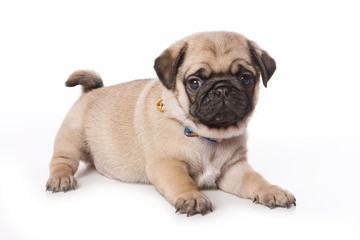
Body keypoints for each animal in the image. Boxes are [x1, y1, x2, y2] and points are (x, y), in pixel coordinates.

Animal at [46, 30, 296, 216]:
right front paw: (192, 197)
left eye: (245, 78)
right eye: (195, 82)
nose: (223, 89)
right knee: (62, 160)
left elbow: (255, 179)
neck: (209, 135)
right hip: (72, 138)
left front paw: (272, 190)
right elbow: (182, 181)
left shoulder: (234, 169)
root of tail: (92, 91)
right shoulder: (167, 165)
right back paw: (61, 178)